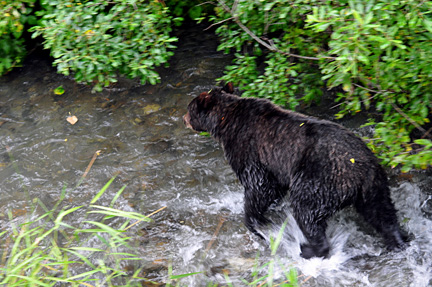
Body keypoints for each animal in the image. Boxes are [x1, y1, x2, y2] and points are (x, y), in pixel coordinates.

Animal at [183, 84, 408, 260]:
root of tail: (361, 168)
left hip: (319, 178)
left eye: (190, 107)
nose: (183, 117)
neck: (225, 121)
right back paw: (397, 240)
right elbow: (273, 188)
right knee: (382, 212)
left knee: (307, 210)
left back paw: (309, 249)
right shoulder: (275, 166)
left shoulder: (248, 149)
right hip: (374, 185)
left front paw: (254, 221)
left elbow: (259, 186)